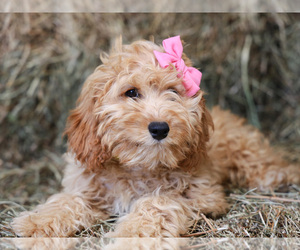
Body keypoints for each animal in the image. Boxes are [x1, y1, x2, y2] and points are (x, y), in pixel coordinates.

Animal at [12, 35, 300, 236]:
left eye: (173, 91)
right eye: (131, 92)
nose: (160, 128)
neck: (139, 167)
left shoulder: (205, 196)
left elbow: (157, 202)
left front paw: (134, 235)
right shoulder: (88, 185)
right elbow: (68, 200)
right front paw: (36, 222)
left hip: (253, 161)